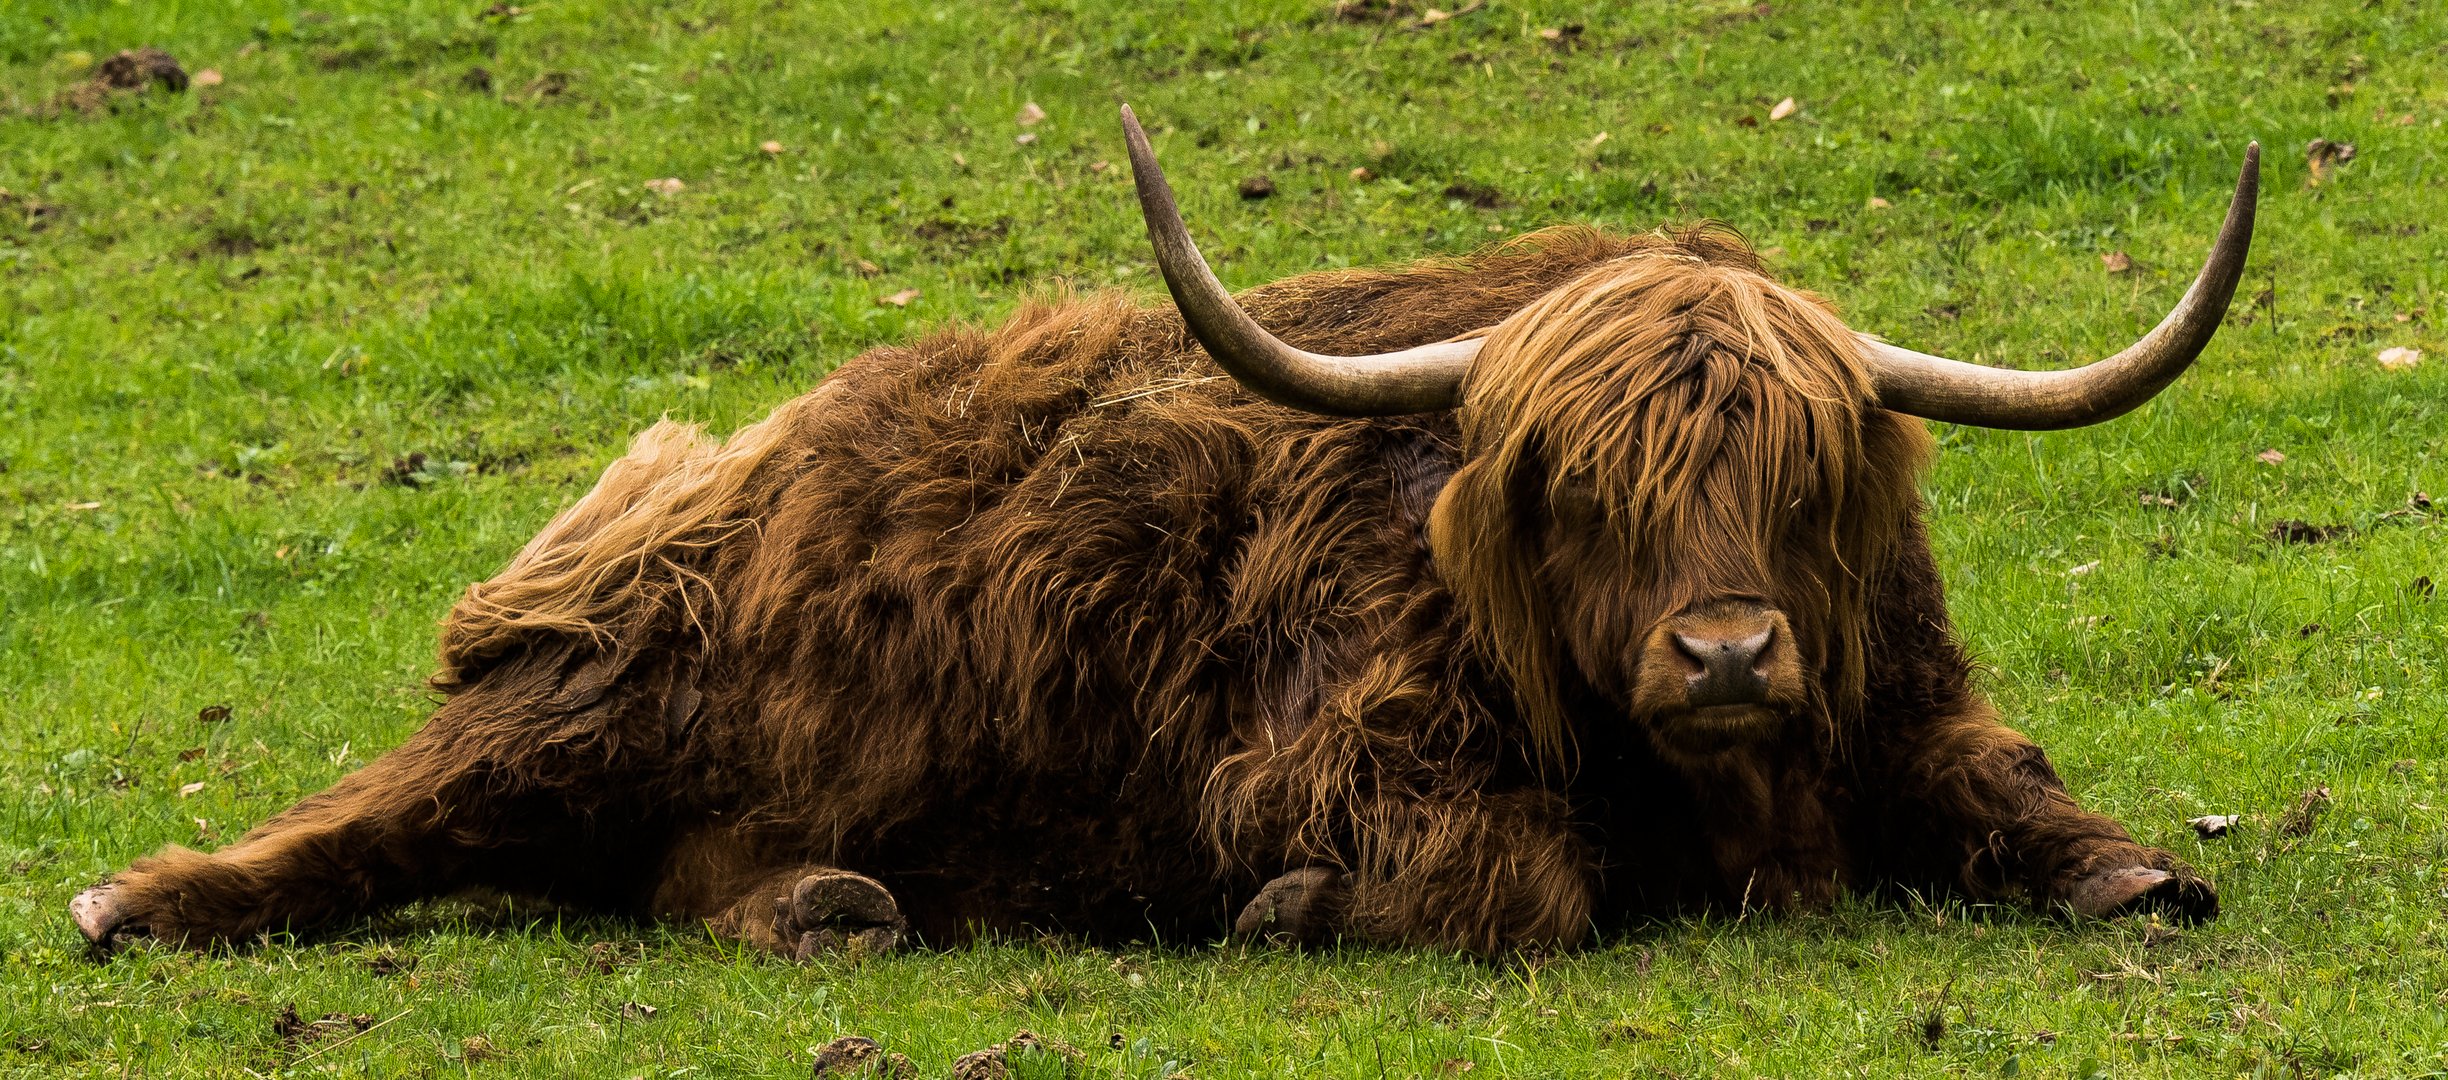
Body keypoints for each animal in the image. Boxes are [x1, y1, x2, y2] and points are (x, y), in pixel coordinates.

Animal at [71, 113, 2252, 955]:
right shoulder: (1330, 756)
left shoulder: (1907, 705)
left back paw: (828, 904)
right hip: (578, 709)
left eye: (1798, 484)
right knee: (375, 822)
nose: (1725, 653)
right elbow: (1510, 887)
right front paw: (1286, 909)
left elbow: (2058, 818)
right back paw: (133, 903)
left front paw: (2136, 875)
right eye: (1582, 489)